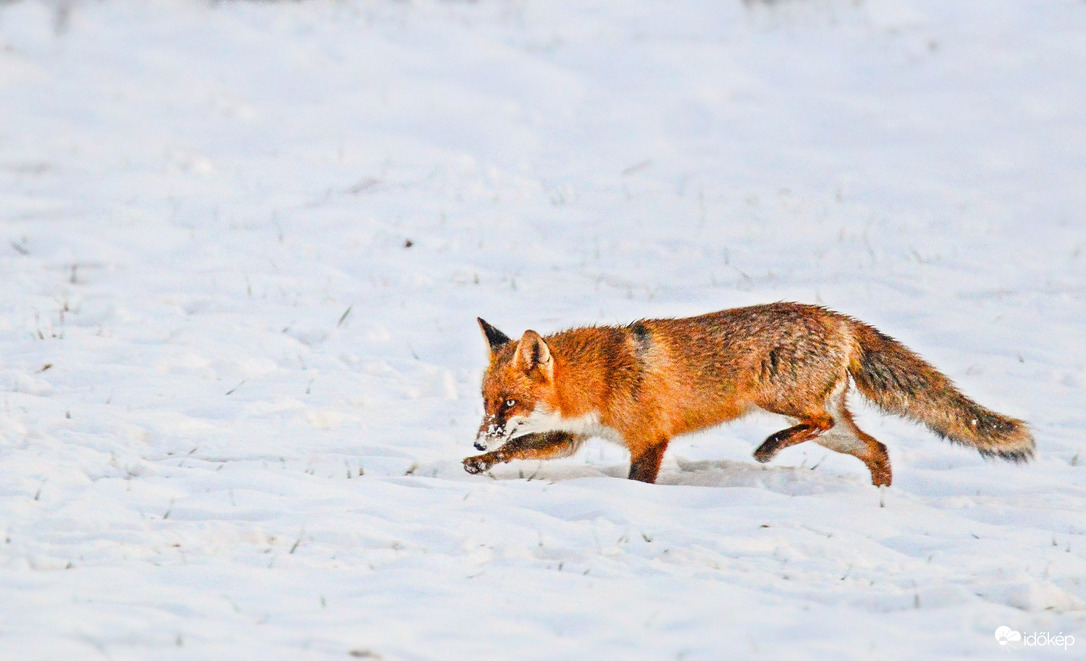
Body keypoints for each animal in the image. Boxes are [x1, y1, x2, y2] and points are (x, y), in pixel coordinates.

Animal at [460, 303, 1033, 484]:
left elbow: (638, 482)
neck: (600, 378)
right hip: (834, 428)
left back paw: (770, 448)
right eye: (487, 403)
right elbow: (519, 448)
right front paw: (481, 465)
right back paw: (880, 503)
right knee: (879, 449)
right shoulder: (570, 436)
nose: (477, 441)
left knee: (819, 425)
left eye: (509, 403)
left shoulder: (650, 439)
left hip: (781, 397)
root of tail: (839, 319)